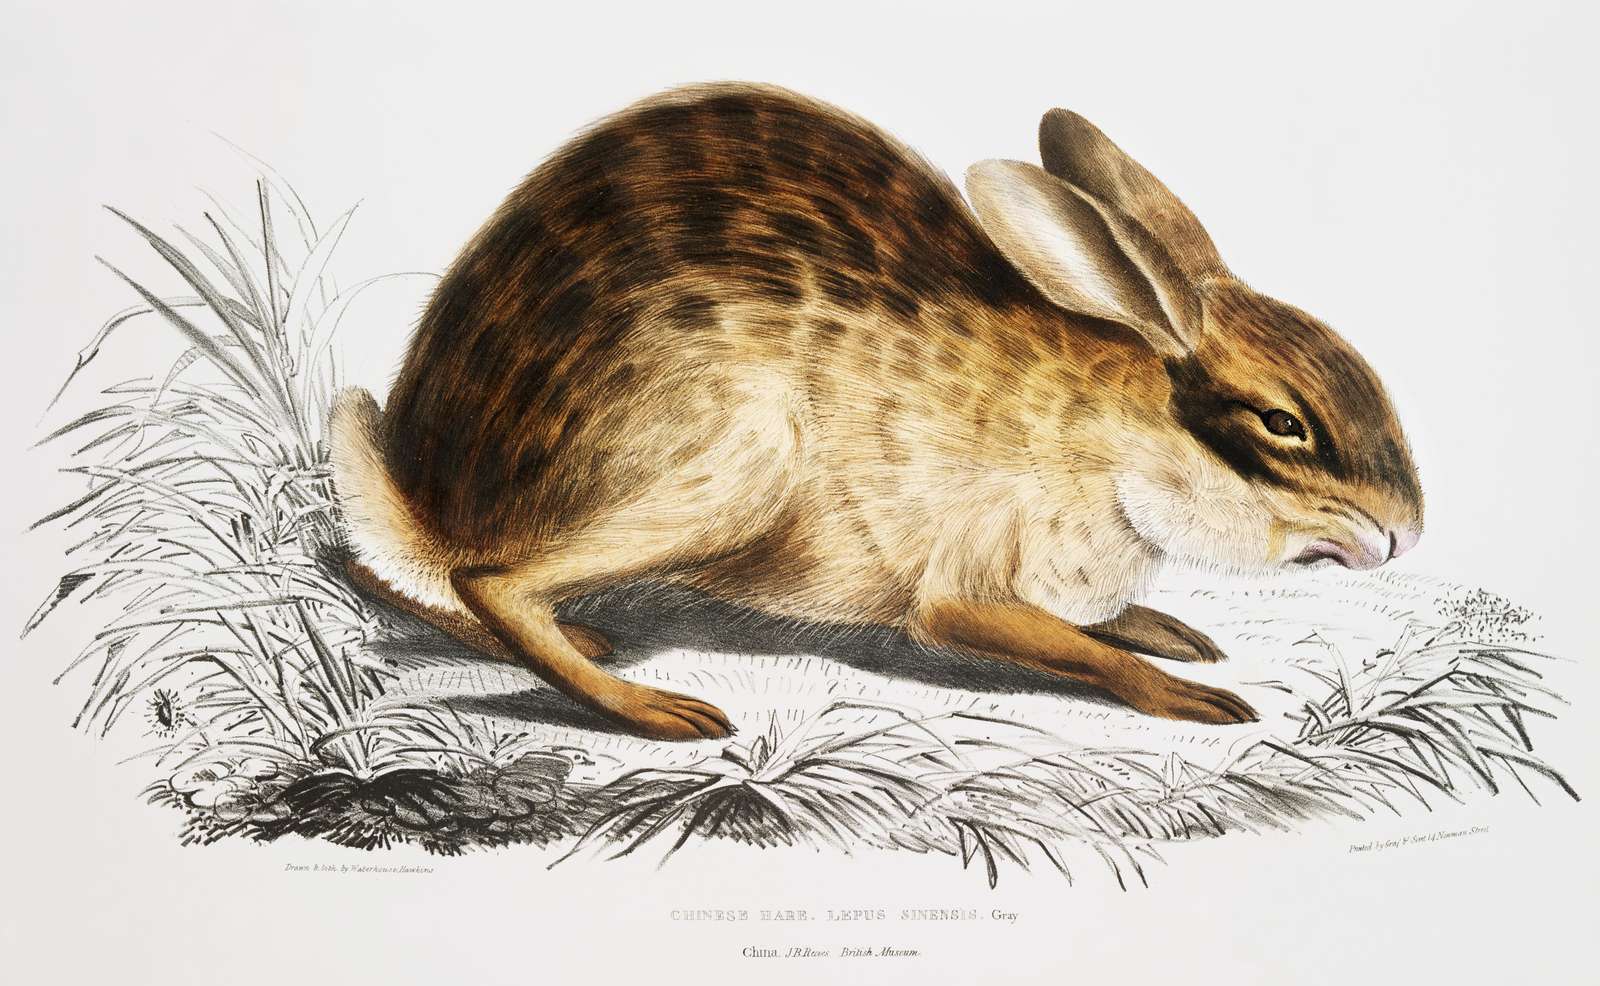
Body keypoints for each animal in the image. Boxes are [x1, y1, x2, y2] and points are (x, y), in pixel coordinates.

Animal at [330, 82, 1423, 741]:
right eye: (1283, 422)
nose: (1405, 535)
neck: (1113, 432)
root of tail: (434, 499)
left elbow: (1105, 621)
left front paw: (1171, 631)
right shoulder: (961, 586)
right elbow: (1066, 644)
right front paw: (1187, 691)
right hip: (743, 457)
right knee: (492, 582)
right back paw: (652, 707)